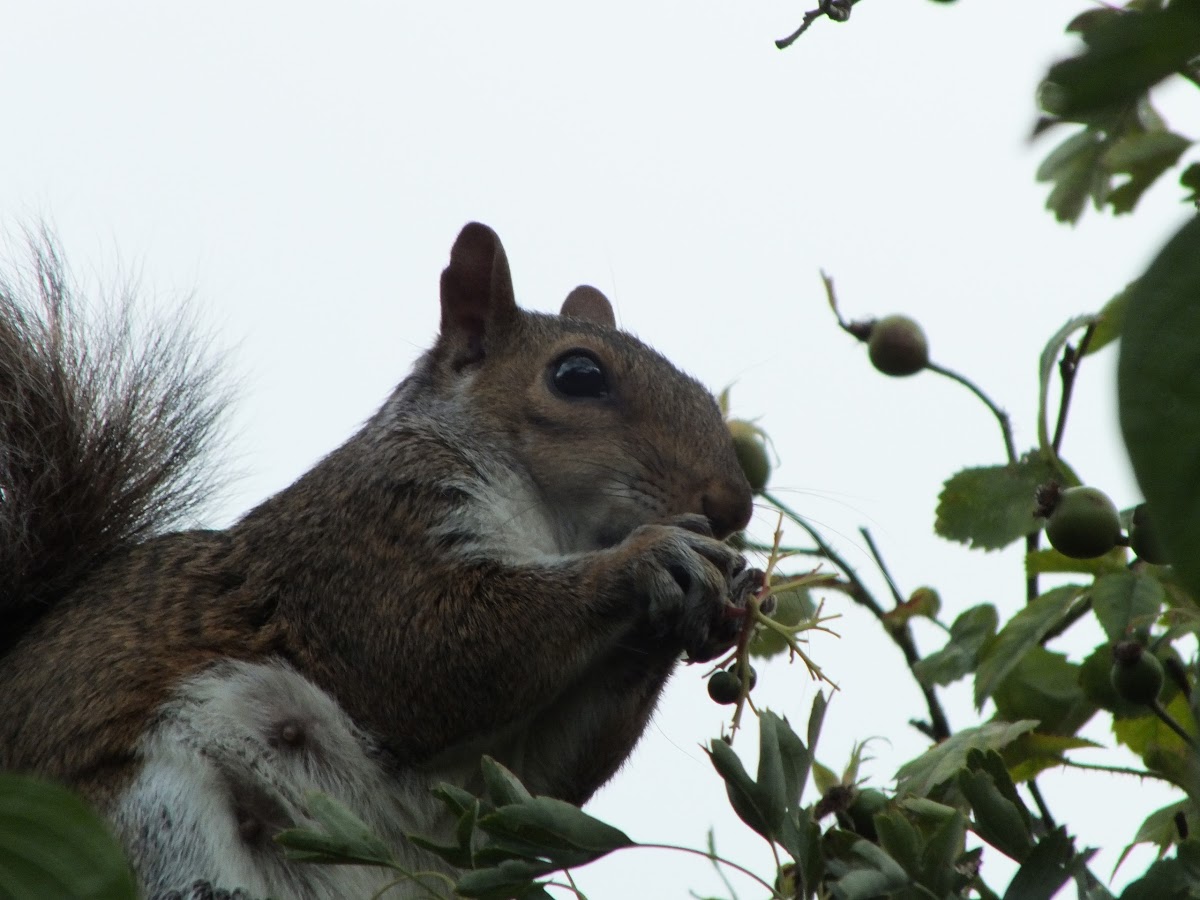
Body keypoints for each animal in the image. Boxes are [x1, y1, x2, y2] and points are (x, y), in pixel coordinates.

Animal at [0, 222, 748, 897]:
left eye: (703, 392)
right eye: (577, 374)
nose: (734, 504)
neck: (553, 527)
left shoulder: (508, 771)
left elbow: (538, 777)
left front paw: (724, 590)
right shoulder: (358, 546)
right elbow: (432, 652)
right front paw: (652, 556)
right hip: (147, 814)